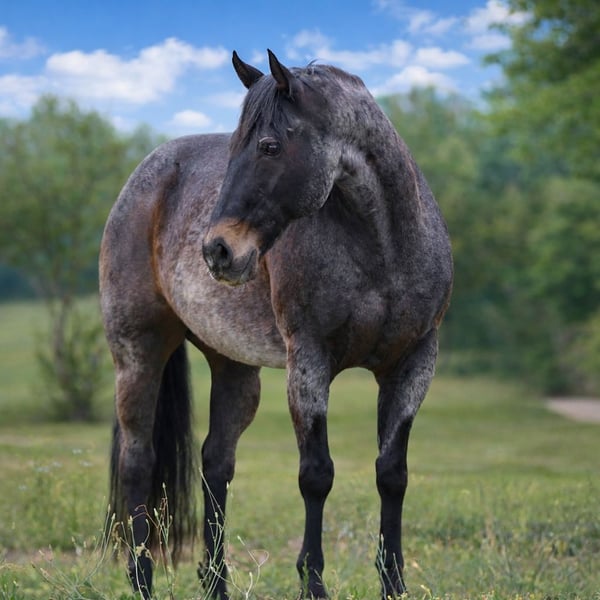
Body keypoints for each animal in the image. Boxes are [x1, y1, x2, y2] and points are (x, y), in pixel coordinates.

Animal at [100, 49, 453, 600]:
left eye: (269, 146)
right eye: (233, 151)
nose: (217, 250)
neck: (383, 249)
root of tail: (145, 177)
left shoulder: (413, 363)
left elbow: (392, 474)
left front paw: (394, 583)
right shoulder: (308, 363)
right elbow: (316, 475)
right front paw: (313, 584)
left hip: (233, 368)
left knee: (215, 462)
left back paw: (216, 583)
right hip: (138, 353)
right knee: (138, 460)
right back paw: (142, 581)